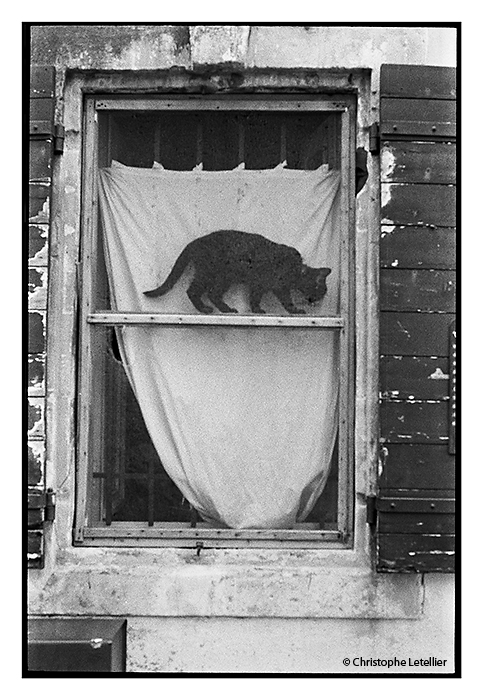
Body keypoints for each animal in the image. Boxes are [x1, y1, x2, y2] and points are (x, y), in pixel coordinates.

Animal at [144, 230, 332, 314]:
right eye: (321, 289)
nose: (321, 299)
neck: (295, 269)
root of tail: (195, 242)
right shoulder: (272, 285)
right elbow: (285, 301)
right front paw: (294, 310)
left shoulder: (261, 285)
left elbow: (255, 298)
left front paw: (256, 309)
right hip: (209, 273)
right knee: (193, 291)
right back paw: (205, 309)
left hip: (223, 278)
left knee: (212, 294)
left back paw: (225, 309)